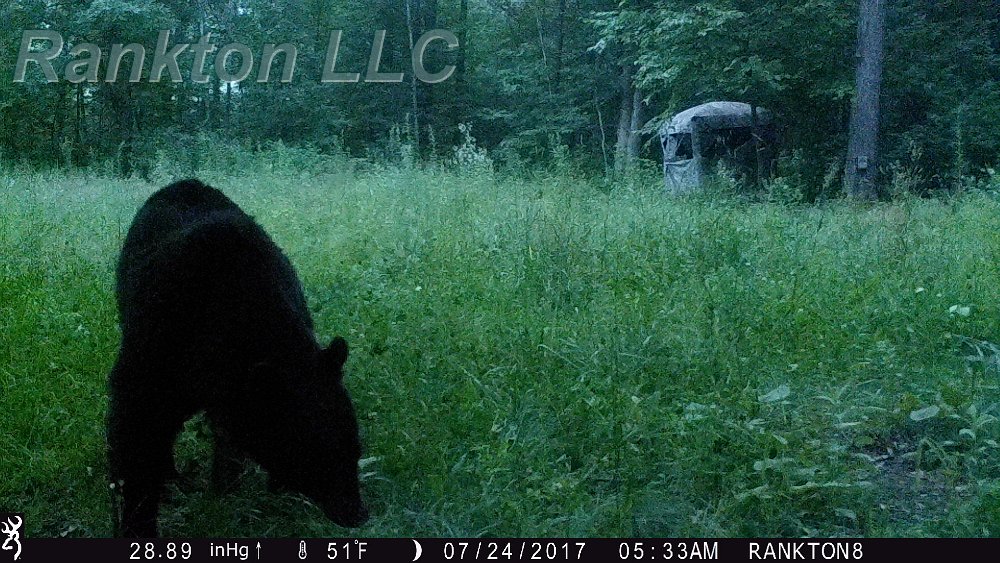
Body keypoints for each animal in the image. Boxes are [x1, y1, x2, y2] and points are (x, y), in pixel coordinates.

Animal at [107, 179, 368, 537]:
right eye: (316, 454)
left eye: (355, 447)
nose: (357, 512)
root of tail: (184, 182)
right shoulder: (158, 346)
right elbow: (136, 429)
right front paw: (138, 519)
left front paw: (225, 487)